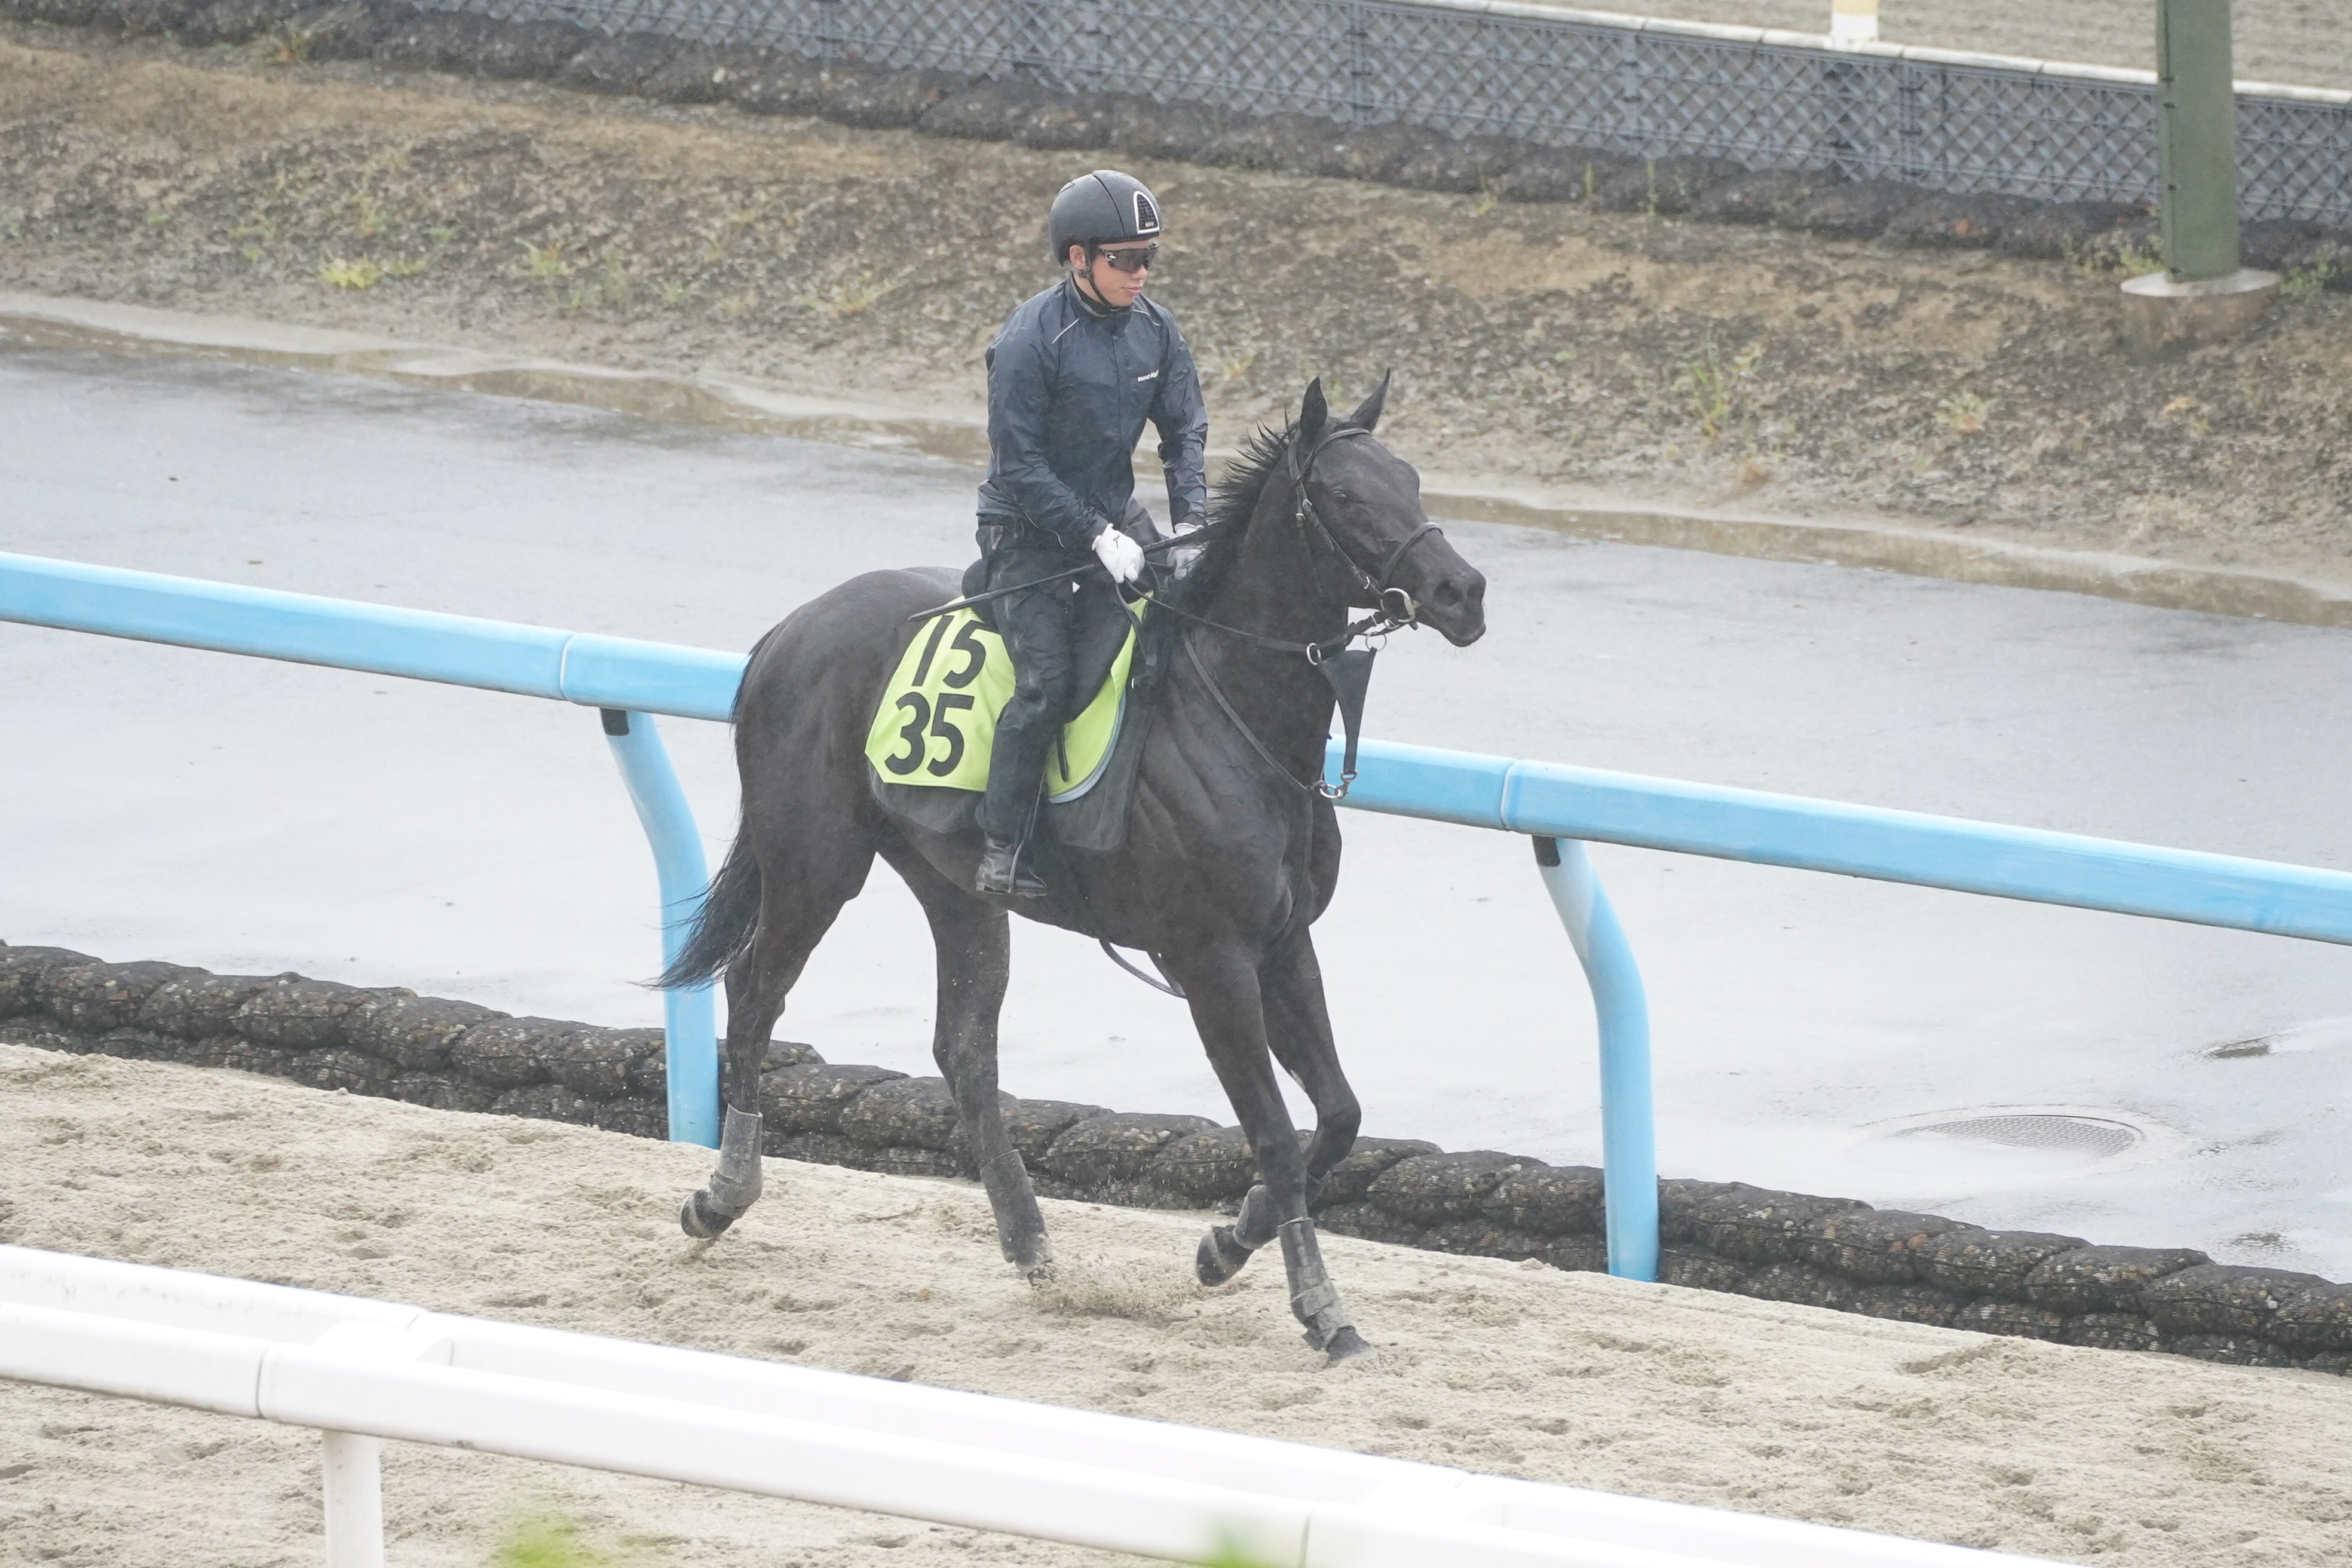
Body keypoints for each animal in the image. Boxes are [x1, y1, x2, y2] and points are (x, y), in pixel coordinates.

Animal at [657, 375, 1487, 1362]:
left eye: (1413, 477)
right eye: (1348, 496)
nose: (1463, 590)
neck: (1232, 714)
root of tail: (791, 628)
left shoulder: (1284, 944)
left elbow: (1340, 1118)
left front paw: (1222, 1247)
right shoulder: (1210, 960)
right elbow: (1280, 1139)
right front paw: (1323, 1310)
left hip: (955, 884)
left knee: (964, 1048)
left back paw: (1030, 1243)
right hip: (815, 859)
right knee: (756, 993)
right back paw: (722, 1197)